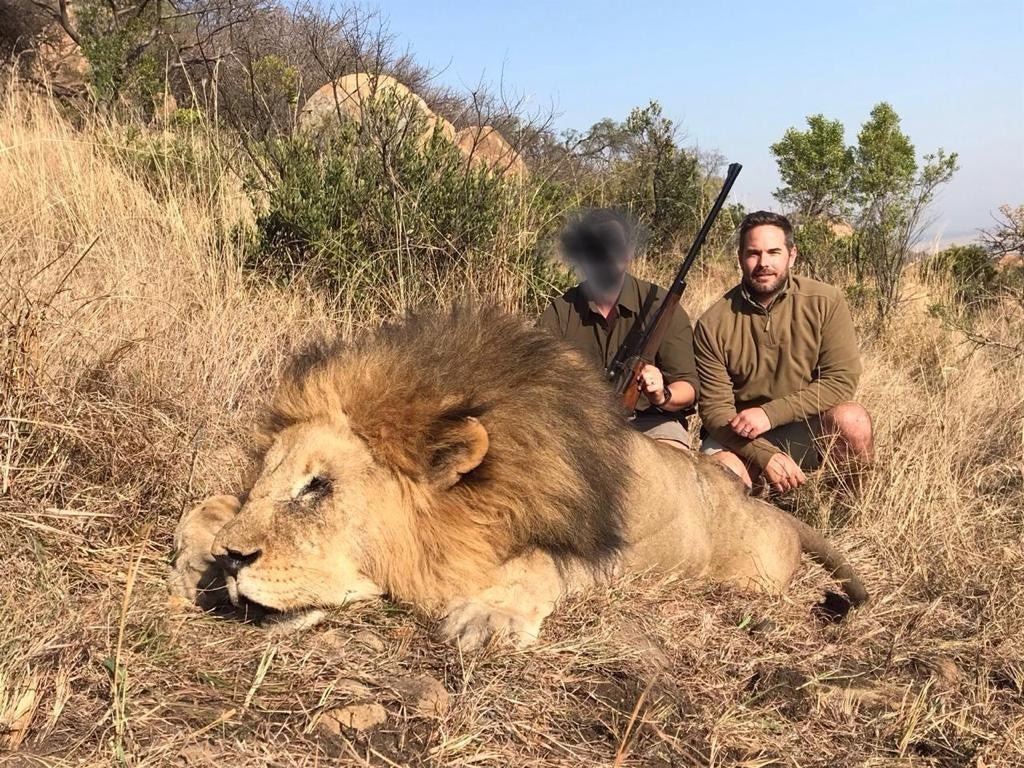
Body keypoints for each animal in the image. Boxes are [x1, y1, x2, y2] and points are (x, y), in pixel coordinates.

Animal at [171, 306, 868, 647]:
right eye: (271, 477)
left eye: (319, 487)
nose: (234, 561)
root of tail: (770, 512)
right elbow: (212, 501)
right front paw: (197, 553)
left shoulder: (603, 550)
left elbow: (541, 565)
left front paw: (488, 615)